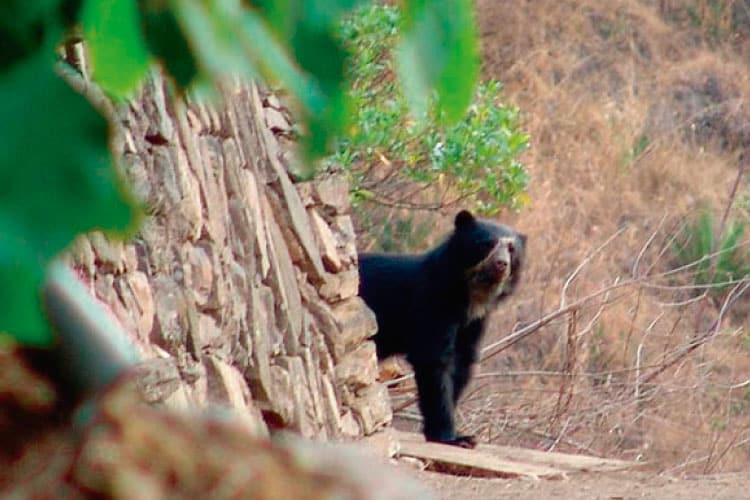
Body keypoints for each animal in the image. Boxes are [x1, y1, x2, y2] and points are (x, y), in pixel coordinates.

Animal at [360, 209, 528, 448]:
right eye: (487, 244)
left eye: (512, 249)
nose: (501, 264)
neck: (470, 297)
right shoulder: (432, 304)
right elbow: (435, 361)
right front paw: (452, 437)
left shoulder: (476, 322)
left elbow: (463, 361)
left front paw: (456, 434)